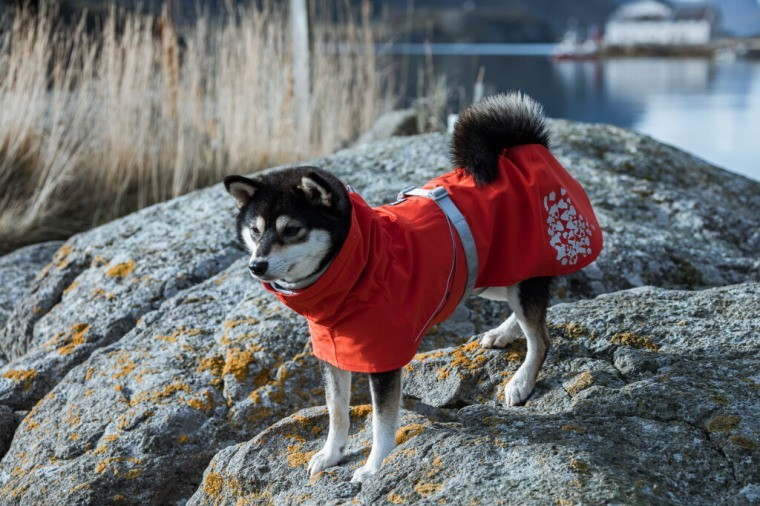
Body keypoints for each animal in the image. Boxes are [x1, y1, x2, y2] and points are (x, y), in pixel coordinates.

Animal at [223, 93, 604, 484]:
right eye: (254, 230)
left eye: (292, 230)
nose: (256, 265)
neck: (357, 267)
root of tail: (529, 148)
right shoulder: (331, 354)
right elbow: (337, 410)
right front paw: (331, 453)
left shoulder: (384, 361)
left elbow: (381, 421)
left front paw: (374, 467)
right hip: (487, 276)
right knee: (529, 313)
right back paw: (502, 333)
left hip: (519, 276)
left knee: (540, 338)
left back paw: (521, 382)